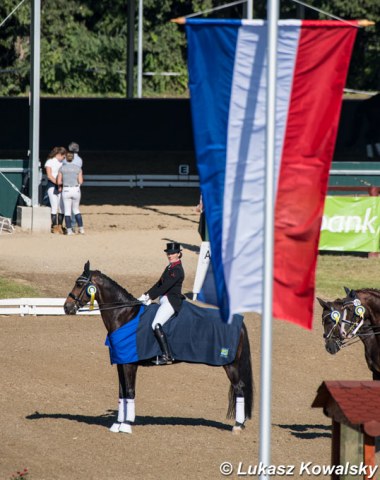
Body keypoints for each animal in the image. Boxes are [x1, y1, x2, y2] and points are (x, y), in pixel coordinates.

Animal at [63, 262, 252, 436]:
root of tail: (239, 321)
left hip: (231, 365)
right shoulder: (121, 362)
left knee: (239, 388)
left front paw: (126, 425)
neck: (124, 316)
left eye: (79, 284)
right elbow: (121, 392)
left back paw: (237, 426)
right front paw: (117, 424)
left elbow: (130, 391)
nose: (67, 307)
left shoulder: (130, 364)